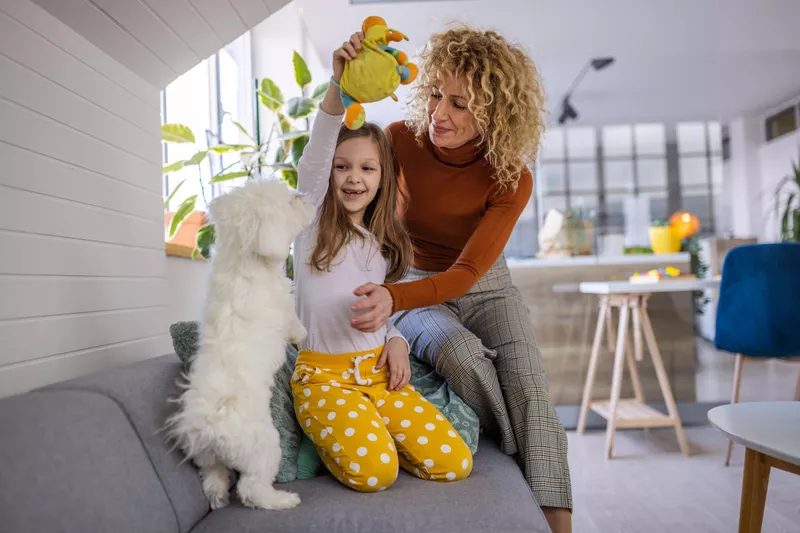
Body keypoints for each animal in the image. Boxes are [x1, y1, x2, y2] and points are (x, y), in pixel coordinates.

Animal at [167, 180, 314, 512]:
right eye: (290, 201)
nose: (304, 196)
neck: (243, 260)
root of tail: (210, 427)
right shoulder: (285, 309)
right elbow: (295, 325)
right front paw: (302, 334)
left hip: (207, 459)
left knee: (214, 479)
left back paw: (219, 499)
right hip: (265, 449)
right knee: (251, 488)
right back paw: (283, 500)